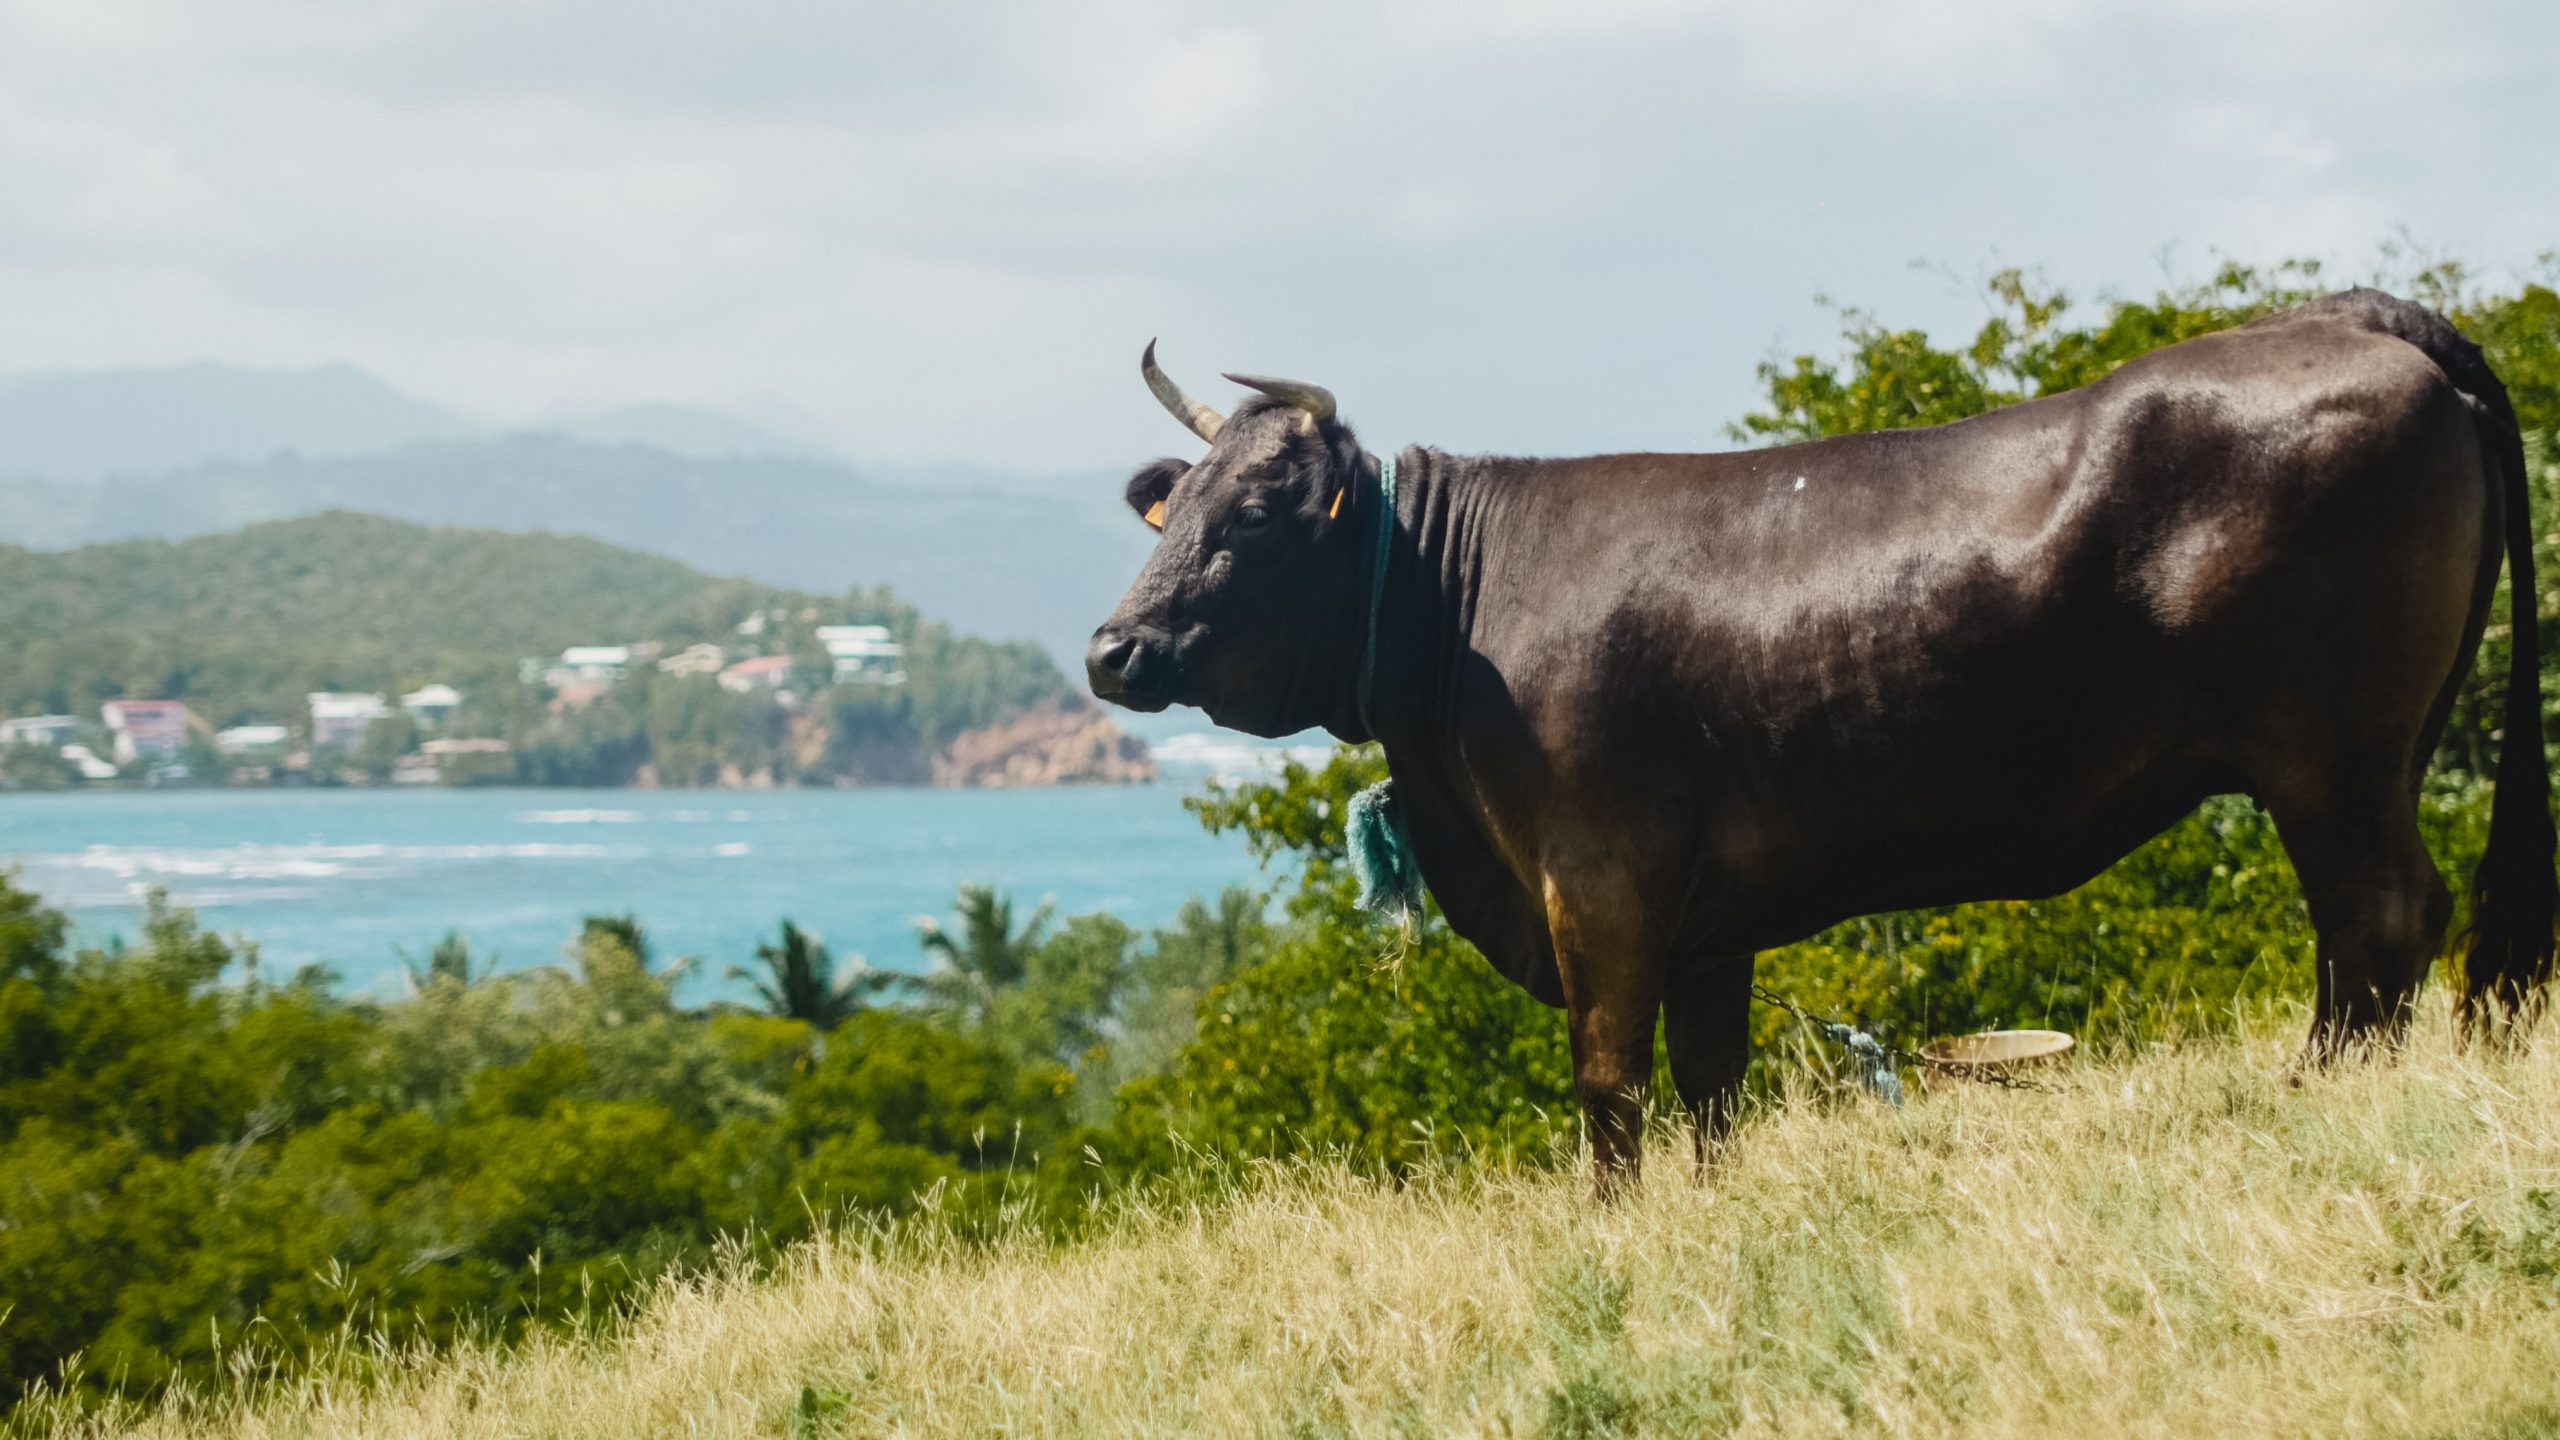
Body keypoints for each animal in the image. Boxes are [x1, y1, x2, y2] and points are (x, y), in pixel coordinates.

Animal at [1085, 285, 2560, 1183]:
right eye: (1175, 508)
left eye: (1258, 512)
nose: (1112, 652)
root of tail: (2352, 316)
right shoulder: (1703, 920)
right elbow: (1710, 1087)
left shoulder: (1597, 880)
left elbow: (1609, 1082)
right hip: (2371, 751)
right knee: (2359, 935)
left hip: (2331, 754)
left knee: (2380, 918)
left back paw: (2321, 1101)